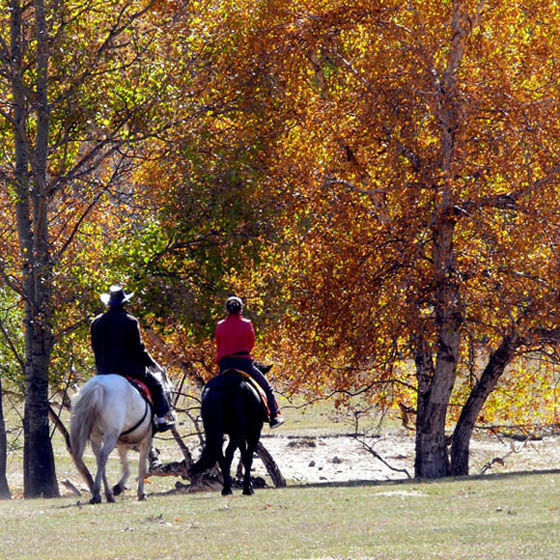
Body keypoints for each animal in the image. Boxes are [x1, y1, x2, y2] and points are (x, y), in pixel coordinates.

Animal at [71, 370, 174, 506]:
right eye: (171, 391)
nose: (172, 415)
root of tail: (98, 384)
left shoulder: (122, 444)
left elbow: (126, 467)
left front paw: (119, 487)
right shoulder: (146, 440)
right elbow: (142, 467)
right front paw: (141, 493)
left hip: (96, 437)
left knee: (100, 461)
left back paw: (108, 495)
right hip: (111, 435)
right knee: (103, 458)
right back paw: (97, 494)